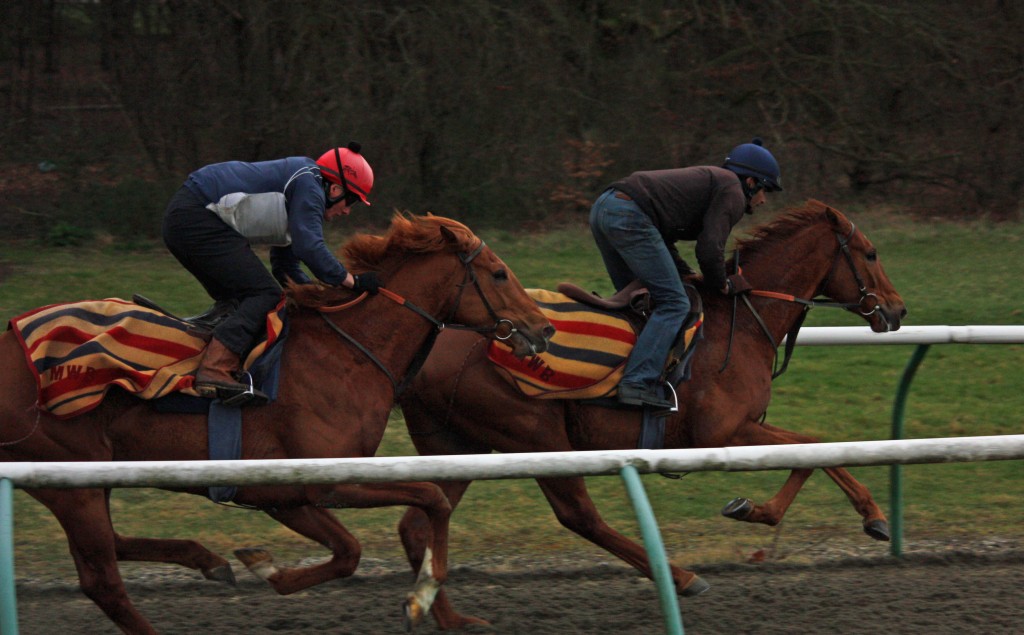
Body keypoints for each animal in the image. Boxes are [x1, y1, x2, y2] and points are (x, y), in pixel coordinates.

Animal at [0, 214, 552, 635]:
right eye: (499, 274)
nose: (543, 329)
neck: (348, 352)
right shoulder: (333, 480)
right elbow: (432, 499)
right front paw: (420, 597)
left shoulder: (282, 493)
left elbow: (349, 551)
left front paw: (264, 566)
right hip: (69, 479)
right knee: (103, 582)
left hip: (88, 477)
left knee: (110, 549)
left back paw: (210, 561)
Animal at [395, 200, 909, 626]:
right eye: (870, 253)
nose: (898, 309)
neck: (742, 321)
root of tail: (434, 340)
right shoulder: (720, 434)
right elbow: (812, 448)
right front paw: (861, 515)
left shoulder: (740, 429)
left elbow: (812, 450)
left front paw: (763, 509)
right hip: (533, 433)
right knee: (578, 515)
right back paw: (681, 577)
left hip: (459, 445)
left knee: (421, 521)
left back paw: (448, 618)